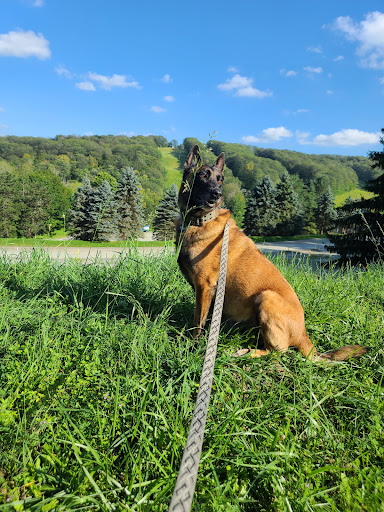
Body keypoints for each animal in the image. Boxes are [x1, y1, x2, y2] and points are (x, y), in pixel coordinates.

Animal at [176, 143, 368, 360]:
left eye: (220, 179)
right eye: (201, 175)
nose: (217, 194)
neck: (201, 220)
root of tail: (303, 335)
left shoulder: (205, 285)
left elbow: (198, 322)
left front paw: (193, 345)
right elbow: (202, 317)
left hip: (266, 297)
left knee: (277, 351)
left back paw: (246, 352)